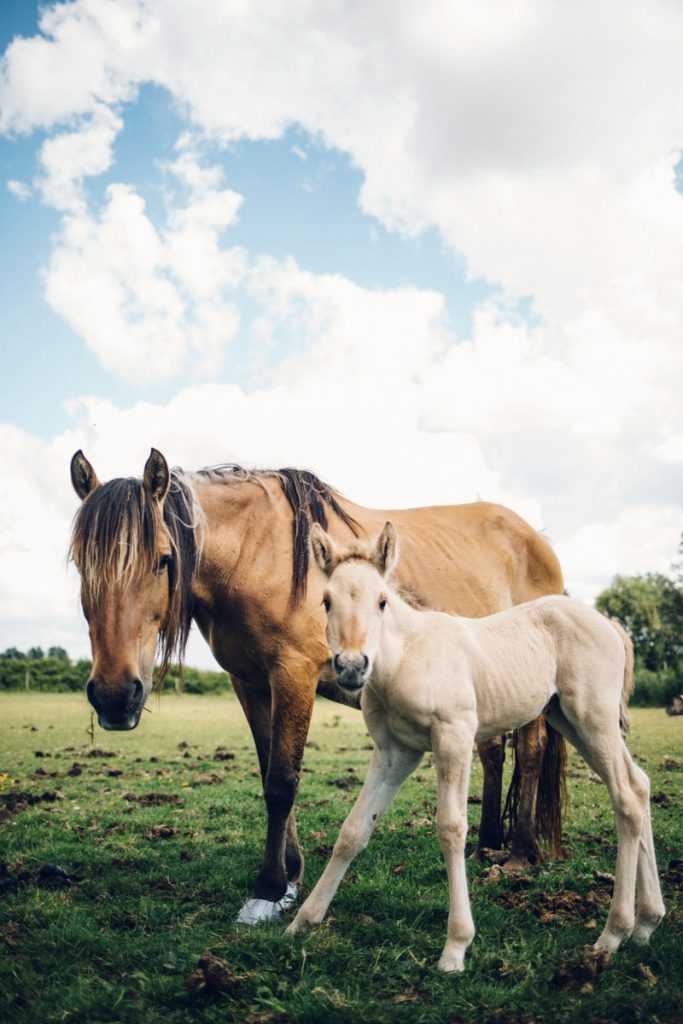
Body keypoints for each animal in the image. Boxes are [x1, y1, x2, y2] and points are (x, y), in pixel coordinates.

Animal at [69, 447, 565, 922]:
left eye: (163, 560)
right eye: (79, 563)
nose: (115, 696)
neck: (253, 553)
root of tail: (538, 542)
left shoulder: (294, 675)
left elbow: (281, 782)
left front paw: (268, 890)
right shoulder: (250, 684)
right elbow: (268, 771)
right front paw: (290, 877)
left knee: (531, 750)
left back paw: (520, 853)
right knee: (494, 752)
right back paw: (486, 846)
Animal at [287, 523, 665, 970]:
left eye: (382, 601)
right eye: (326, 601)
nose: (350, 667)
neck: (405, 658)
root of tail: (610, 625)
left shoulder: (454, 736)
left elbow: (451, 827)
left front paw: (456, 946)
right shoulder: (395, 753)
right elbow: (353, 830)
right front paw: (303, 920)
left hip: (593, 718)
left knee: (626, 795)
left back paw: (614, 932)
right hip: (570, 721)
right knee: (638, 786)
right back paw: (647, 922)